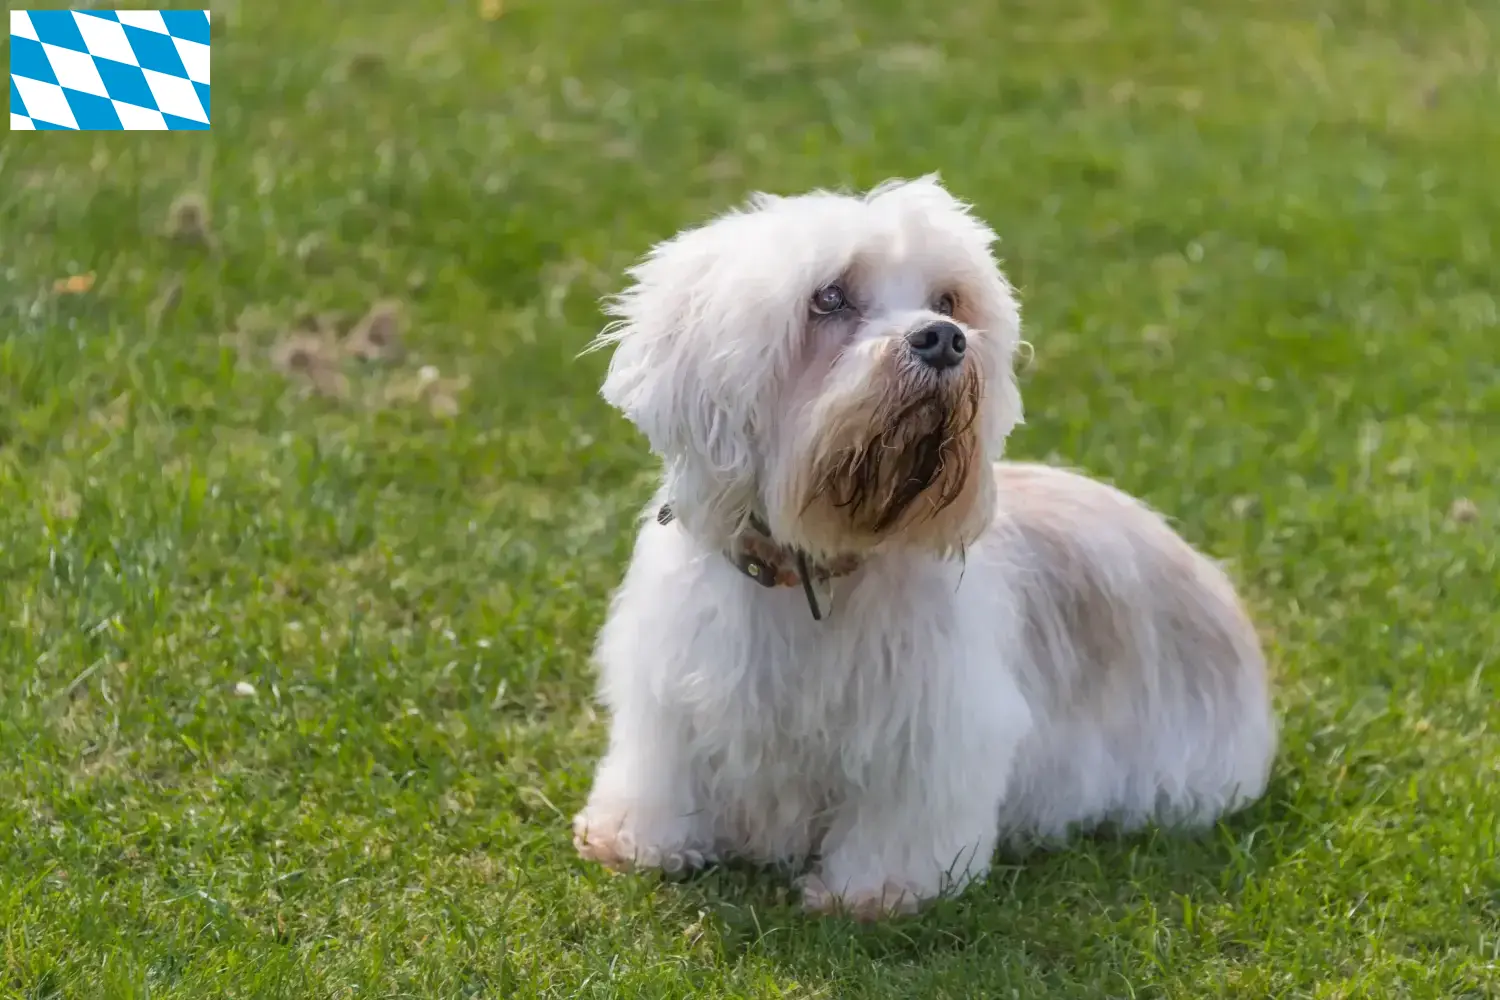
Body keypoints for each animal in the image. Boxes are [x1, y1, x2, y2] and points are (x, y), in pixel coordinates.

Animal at [573, 176, 1278, 917]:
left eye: (948, 301)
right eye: (829, 296)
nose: (943, 340)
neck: (814, 571)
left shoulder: (932, 726)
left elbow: (901, 816)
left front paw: (875, 892)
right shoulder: (668, 697)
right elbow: (661, 773)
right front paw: (638, 839)